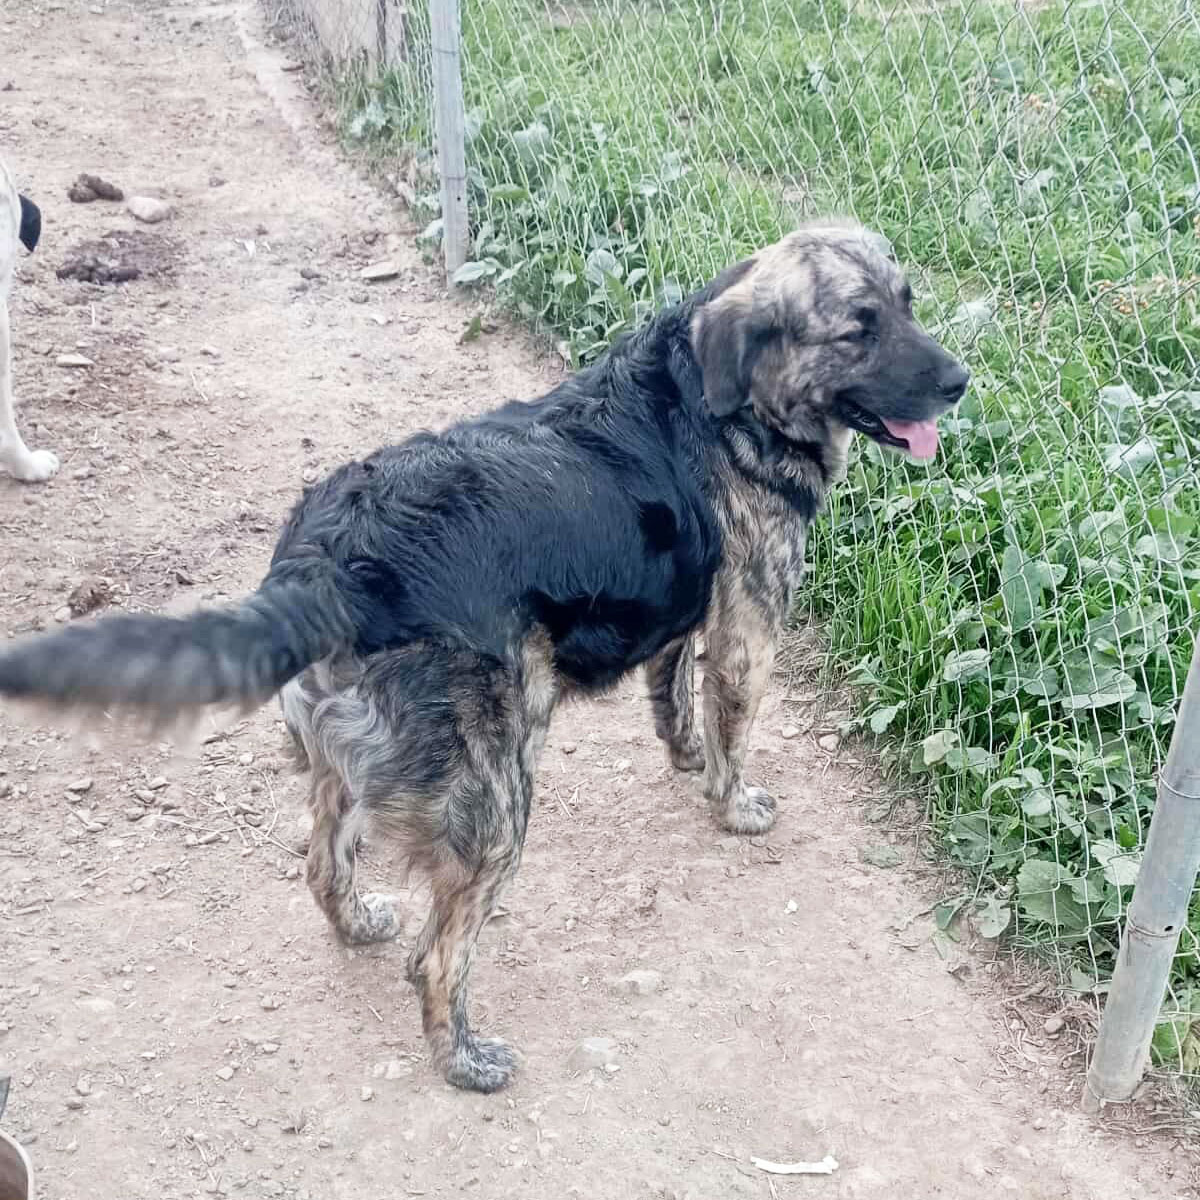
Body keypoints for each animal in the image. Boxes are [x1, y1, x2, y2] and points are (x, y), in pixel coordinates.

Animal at [0, 218, 967, 1090]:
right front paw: (734, 803)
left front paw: (685, 754)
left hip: (345, 761)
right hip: (497, 796)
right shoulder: (746, 632)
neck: (718, 396)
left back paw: (359, 926)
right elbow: (732, 733)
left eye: (909, 303)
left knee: (321, 865)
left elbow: (672, 695)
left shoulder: (684, 618)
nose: (961, 380)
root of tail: (332, 563)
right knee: (437, 956)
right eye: (858, 328)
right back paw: (464, 1060)